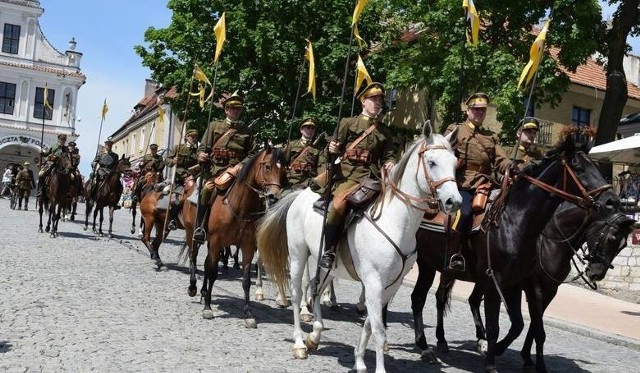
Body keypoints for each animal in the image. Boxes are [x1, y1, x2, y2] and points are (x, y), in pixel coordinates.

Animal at [258, 123, 462, 372]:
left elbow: (369, 325)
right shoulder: (374, 282)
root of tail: (300, 193)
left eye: (455, 162)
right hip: (298, 254)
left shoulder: (391, 286)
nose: (454, 201)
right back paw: (299, 343)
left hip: (327, 265)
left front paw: (359, 360)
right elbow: (379, 331)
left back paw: (315, 335)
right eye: (431, 162)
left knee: (316, 289)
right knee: (298, 294)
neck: (396, 222)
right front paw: (378, 367)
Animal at [410, 137, 616, 372]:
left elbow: (524, 326)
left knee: (426, 297)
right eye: (579, 167)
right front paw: (491, 363)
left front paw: (511, 355)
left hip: (431, 266)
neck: (516, 221)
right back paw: (426, 345)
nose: (612, 201)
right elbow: (496, 326)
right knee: (423, 297)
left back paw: (434, 343)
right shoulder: (497, 282)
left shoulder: (520, 285)